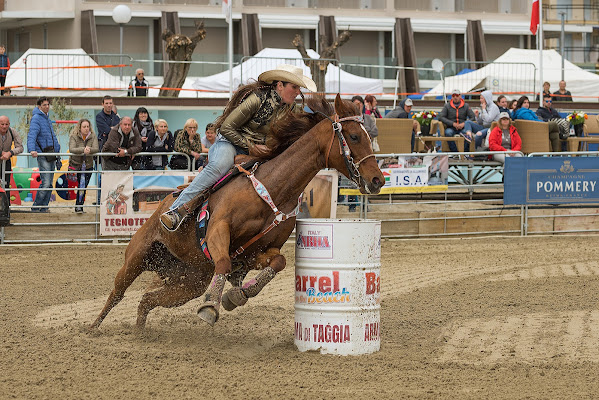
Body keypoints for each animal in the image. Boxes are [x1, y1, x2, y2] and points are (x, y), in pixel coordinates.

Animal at [92, 95, 386, 330]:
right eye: (355, 136)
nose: (377, 180)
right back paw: (92, 329)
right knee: (117, 293)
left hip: (190, 282)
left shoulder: (256, 252)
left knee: (147, 299)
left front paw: (236, 296)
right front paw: (211, 307)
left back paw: (141, 333)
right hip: (137, 258)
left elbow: (279, 263)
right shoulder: (218, 230)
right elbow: (222, 263)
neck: (272, 189)